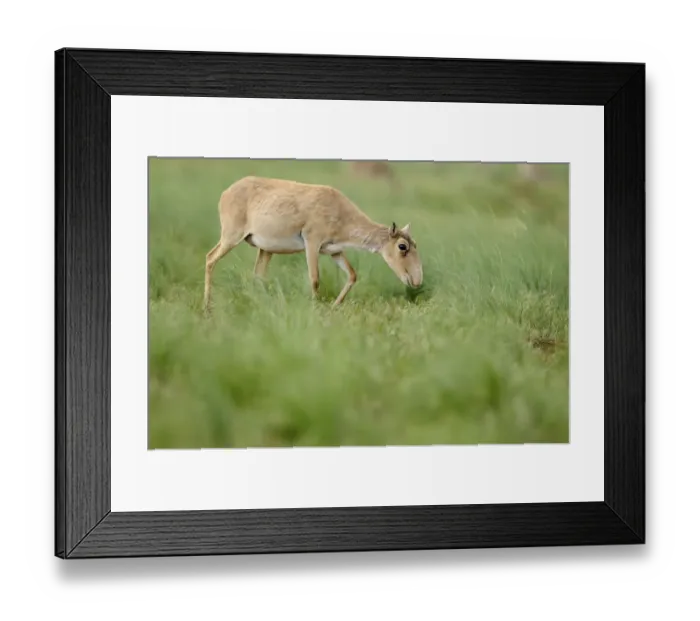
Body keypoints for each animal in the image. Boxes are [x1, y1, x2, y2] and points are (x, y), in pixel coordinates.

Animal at [203, 176, 423, 312]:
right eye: (402, 246)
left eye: (415, 244)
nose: (417, 280)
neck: (340, 212)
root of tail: (225, 193)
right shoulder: (312, 243)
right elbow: (315, 278)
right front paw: (316, 310)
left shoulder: (334, 251)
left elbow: (352, 275)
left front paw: (334, 307)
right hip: (231, 236)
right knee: (210, 258)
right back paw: (207, 307)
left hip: (265, 249)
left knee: (258, 275)